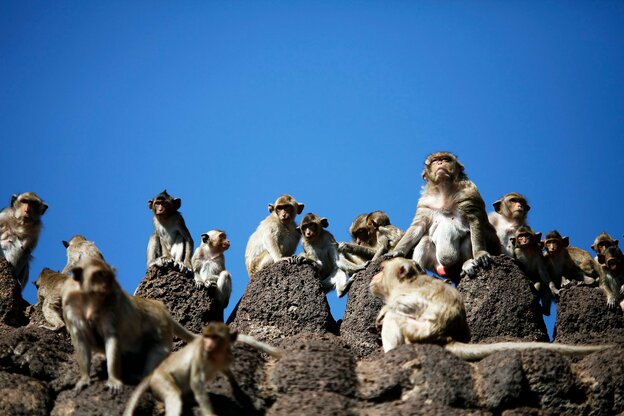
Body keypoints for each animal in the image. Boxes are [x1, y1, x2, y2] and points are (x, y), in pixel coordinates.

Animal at [62, 258, 195, 392]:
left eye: (109, 275)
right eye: (100, 274)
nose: (108, 284)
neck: (90, 299)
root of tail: (161, 308)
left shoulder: (112, 303)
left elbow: (111, 337)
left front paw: (113, 379)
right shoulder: (70, 305)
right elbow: (80, 339)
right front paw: (84, 378)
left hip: (162, 328)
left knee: (157, 350)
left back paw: (143, 377)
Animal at [124, 322, 280, 416]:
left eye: (215, 337)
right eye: (207, 337)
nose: (208, 344)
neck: (216, 355)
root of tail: (153, 374)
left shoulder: (226, 357)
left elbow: (227, 372)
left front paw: (238, 390)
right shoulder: (200, 354)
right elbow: (196, 383)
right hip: (161, 381)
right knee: (173, 395)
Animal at [370, 255, 616, 360]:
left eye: (381, 269)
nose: (373, 277)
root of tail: (446, 339)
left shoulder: (410, 292)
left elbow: (408, 306)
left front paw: (383, 311)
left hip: (416, 335)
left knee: (397, 319)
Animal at [388, 151, 500, 282]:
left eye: (446, 159)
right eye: (435, 160)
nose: (440, 162)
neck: (444, 189)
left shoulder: (469, 193)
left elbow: (474, 219)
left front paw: (480, 253)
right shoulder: (424, 203)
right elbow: (418, 226)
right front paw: (396, 252)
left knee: (468, 236)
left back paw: (468, 263)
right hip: (436, 264)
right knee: (425, 240)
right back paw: (418, 269)